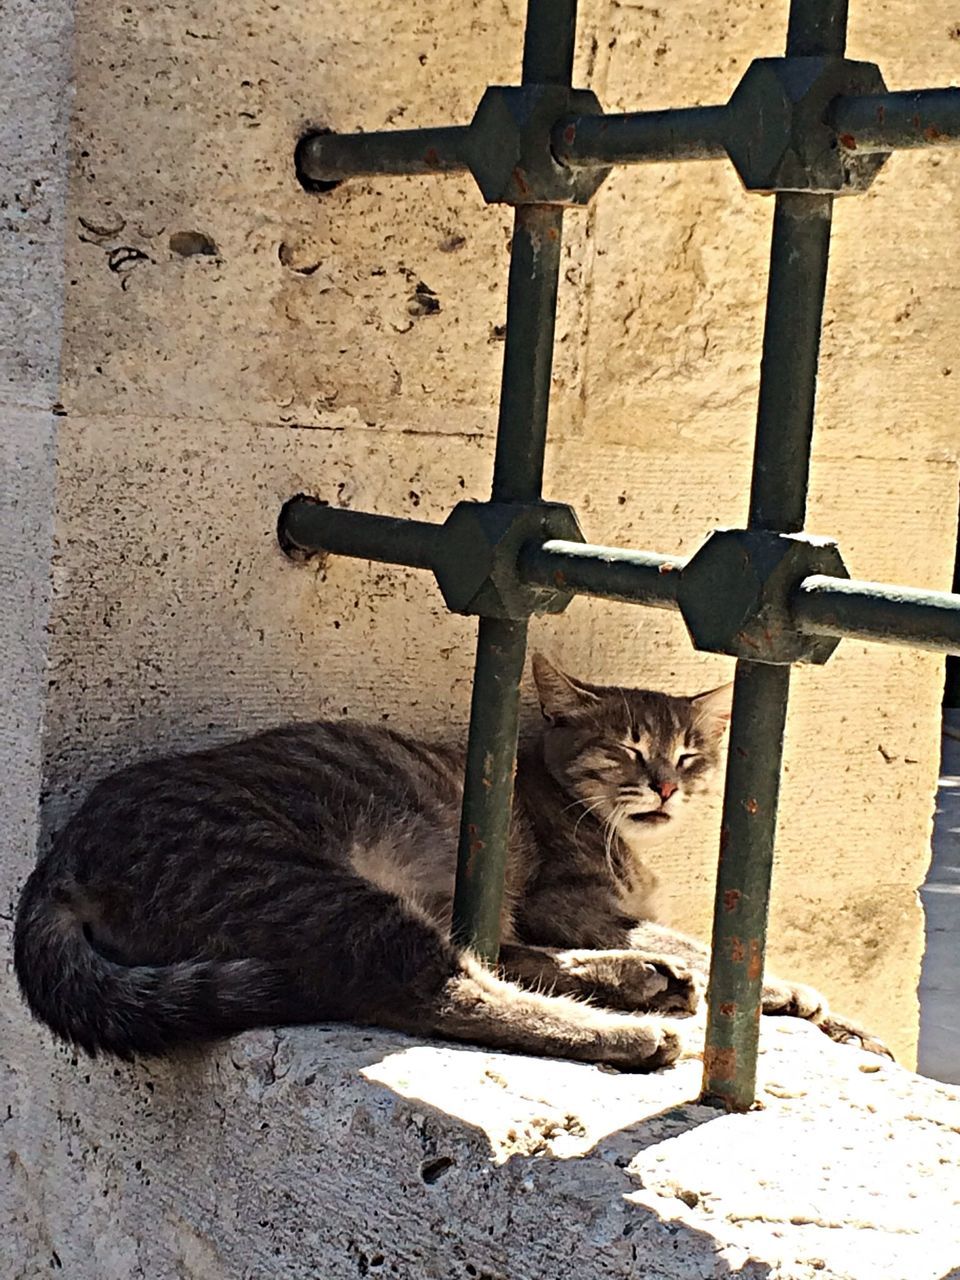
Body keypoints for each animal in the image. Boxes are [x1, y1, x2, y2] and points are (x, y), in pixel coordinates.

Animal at [13, 655, 885, 1064]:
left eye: (692, 753)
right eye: (629, 750)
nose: (669, 785)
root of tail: (60, 859)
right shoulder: (574, 902)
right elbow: (696, 940)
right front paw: (779, 986)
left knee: (491, 957)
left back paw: (637, 985)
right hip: (307, 887)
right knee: (447, 989)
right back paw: (625, 1030)